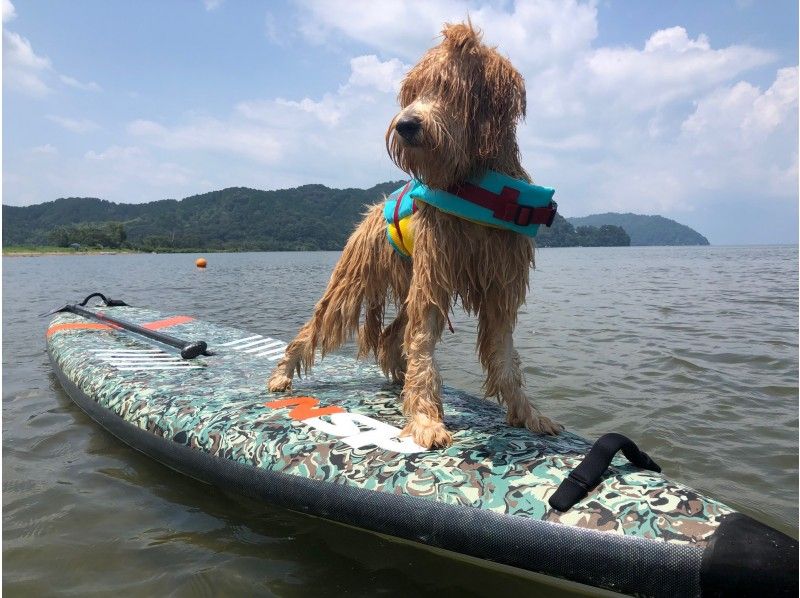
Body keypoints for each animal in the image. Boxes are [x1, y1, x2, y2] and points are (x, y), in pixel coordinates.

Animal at [268, 22, 564, 450]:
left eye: (447, 87)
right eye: (412, 92)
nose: (406, 125)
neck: (475, 182)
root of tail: (371, 211)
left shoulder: (500, 283)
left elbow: (505, 356)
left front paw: (528, 413)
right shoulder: (435, 271)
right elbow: (423, 341)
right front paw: (425, 419)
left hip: (410, 279)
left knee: (393, 334)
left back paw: (397, 375)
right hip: (355, 282)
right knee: (318, 325)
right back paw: (282, 374)